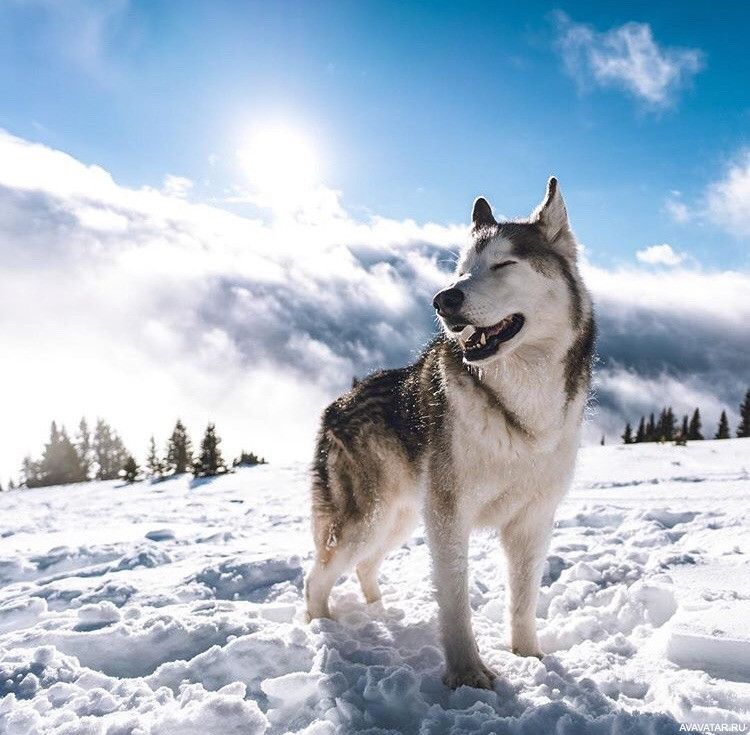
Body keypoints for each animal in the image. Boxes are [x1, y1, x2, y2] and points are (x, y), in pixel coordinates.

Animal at [304, 178, 592, 688]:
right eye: (462, 270)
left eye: (503, 264)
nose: (443, 299)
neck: (520, 411)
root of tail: (336, 404)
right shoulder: (448, 516)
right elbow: (455, 603)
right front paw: (468, 676)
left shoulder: (533, 522)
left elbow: (523, 603)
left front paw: (529, 658)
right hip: (364, 522)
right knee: (315, 578)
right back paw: (324, 628)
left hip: (397, 520)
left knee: (364, 566)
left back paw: (380, 612)